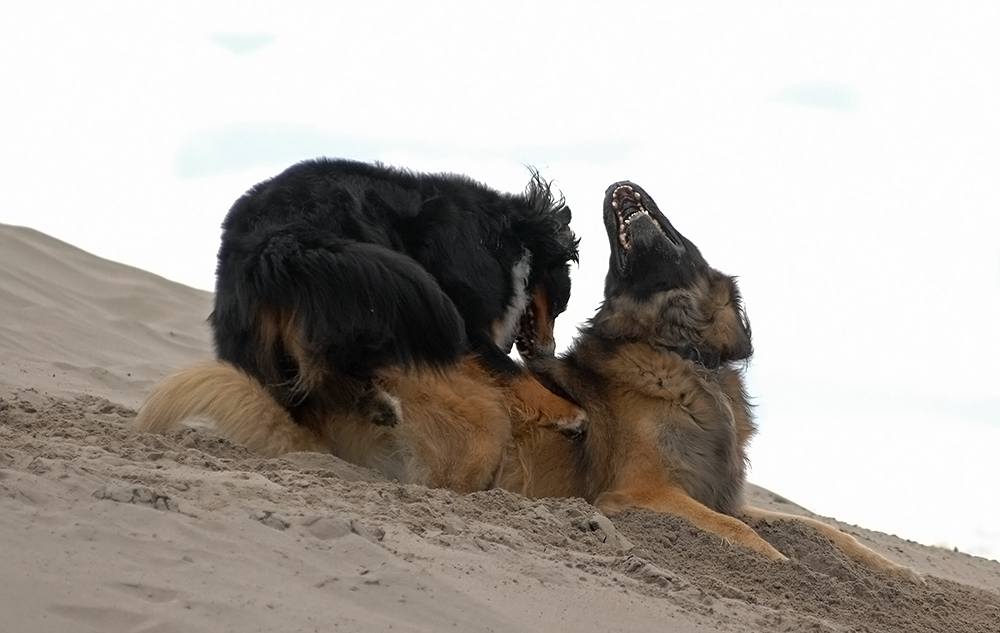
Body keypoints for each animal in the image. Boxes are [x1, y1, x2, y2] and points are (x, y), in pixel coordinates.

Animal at [213, 158, 584, 430]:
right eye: (559, 307)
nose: (549, 353)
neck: (507, 239)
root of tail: (272, 236)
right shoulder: (468, 323)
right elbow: (508, 370)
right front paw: (570, 413)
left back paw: (374, 405)